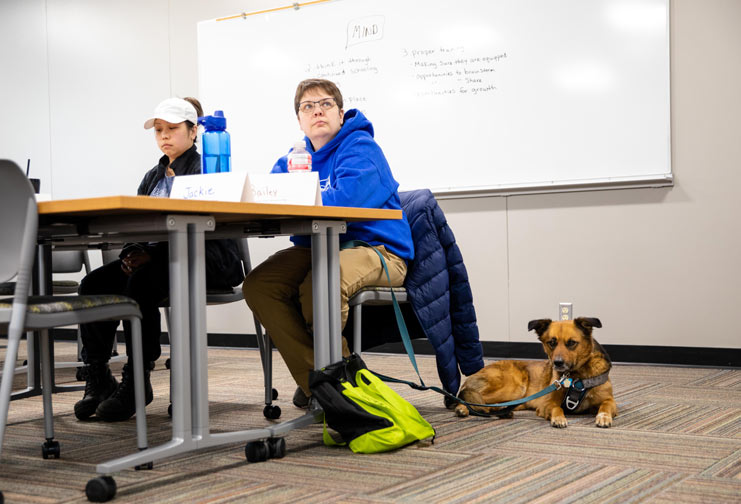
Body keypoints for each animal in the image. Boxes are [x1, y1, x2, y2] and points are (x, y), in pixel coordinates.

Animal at [454, 316, 616, 428]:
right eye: (552, 343)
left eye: (571, 343)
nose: (557, 363)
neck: (577, 378)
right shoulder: (546, 404)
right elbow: (557, 407)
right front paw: (559, 418)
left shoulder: (609, 400)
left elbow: (606, 405)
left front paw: (603, 416)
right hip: (513, 388)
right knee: (472, 398)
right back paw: (462, 408)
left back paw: (504, 412)